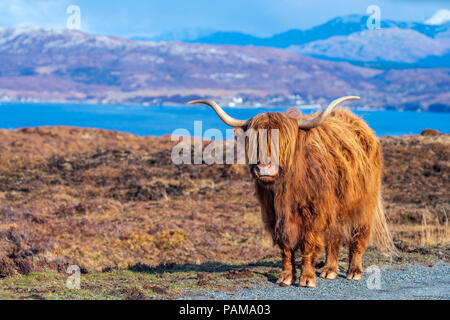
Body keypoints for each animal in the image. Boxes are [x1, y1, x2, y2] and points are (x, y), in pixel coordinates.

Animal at [188, 97, 396, 288]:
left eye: (282, 143)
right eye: (255, 142)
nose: (264, 169)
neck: (286, 191)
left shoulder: (314, 213)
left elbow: (309, 244)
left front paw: (307, 278)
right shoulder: (274, 215)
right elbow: (285, 247)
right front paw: (286, 277)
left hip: (364, 205)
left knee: (358, 237)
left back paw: (354, 272)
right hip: (336, 210)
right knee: (334, 239)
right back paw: (329, 270)